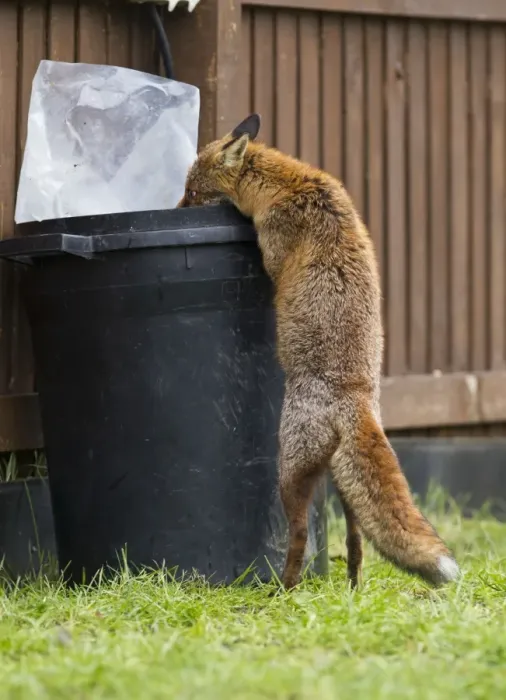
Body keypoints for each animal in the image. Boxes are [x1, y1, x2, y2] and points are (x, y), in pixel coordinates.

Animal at [178, 113, 460, 590]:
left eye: (193, 193)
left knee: (298, 535)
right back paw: (352, 588)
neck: (290, 183)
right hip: (343, 487)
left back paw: (286, 590)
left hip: (289, 470)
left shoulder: (273, 247)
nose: (174, 209)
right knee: (357, 540)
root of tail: (357, 398)